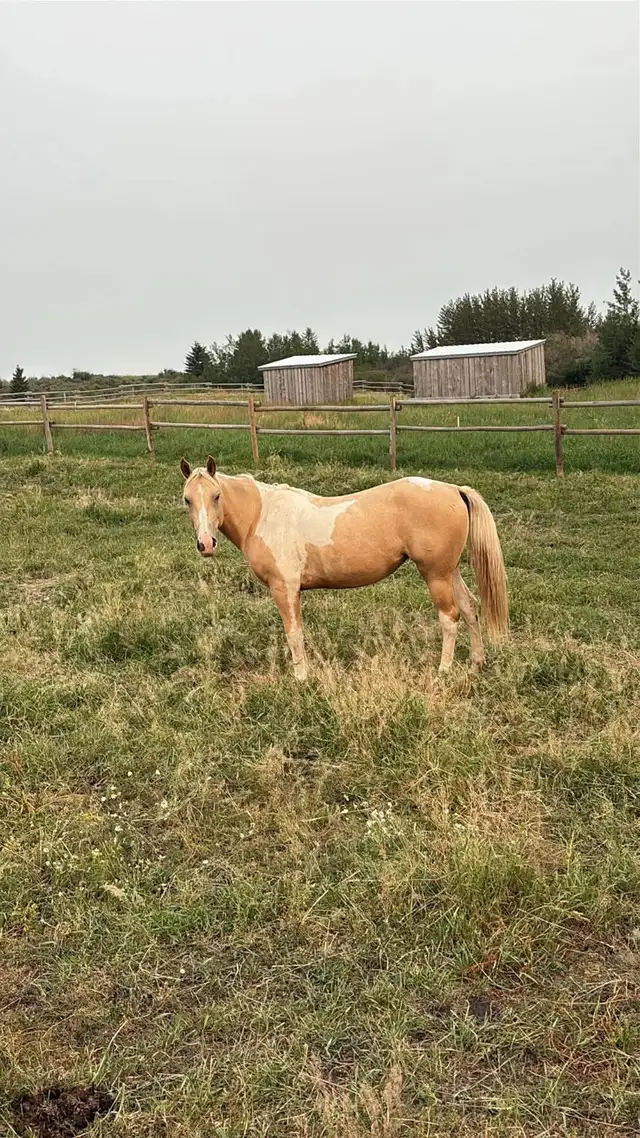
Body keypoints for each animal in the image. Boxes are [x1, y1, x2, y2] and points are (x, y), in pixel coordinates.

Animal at [179, 456, 508, 680]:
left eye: (216, 496)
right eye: (187, 500)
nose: (206, 544)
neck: (263, 515)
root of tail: (454, 490)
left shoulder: (284, 588)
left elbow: (294, 633)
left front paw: (301, 678)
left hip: (435, 574)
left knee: (449, 617)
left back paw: (443, 670)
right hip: (449, 571)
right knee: (469, 607)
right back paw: (477, 662)